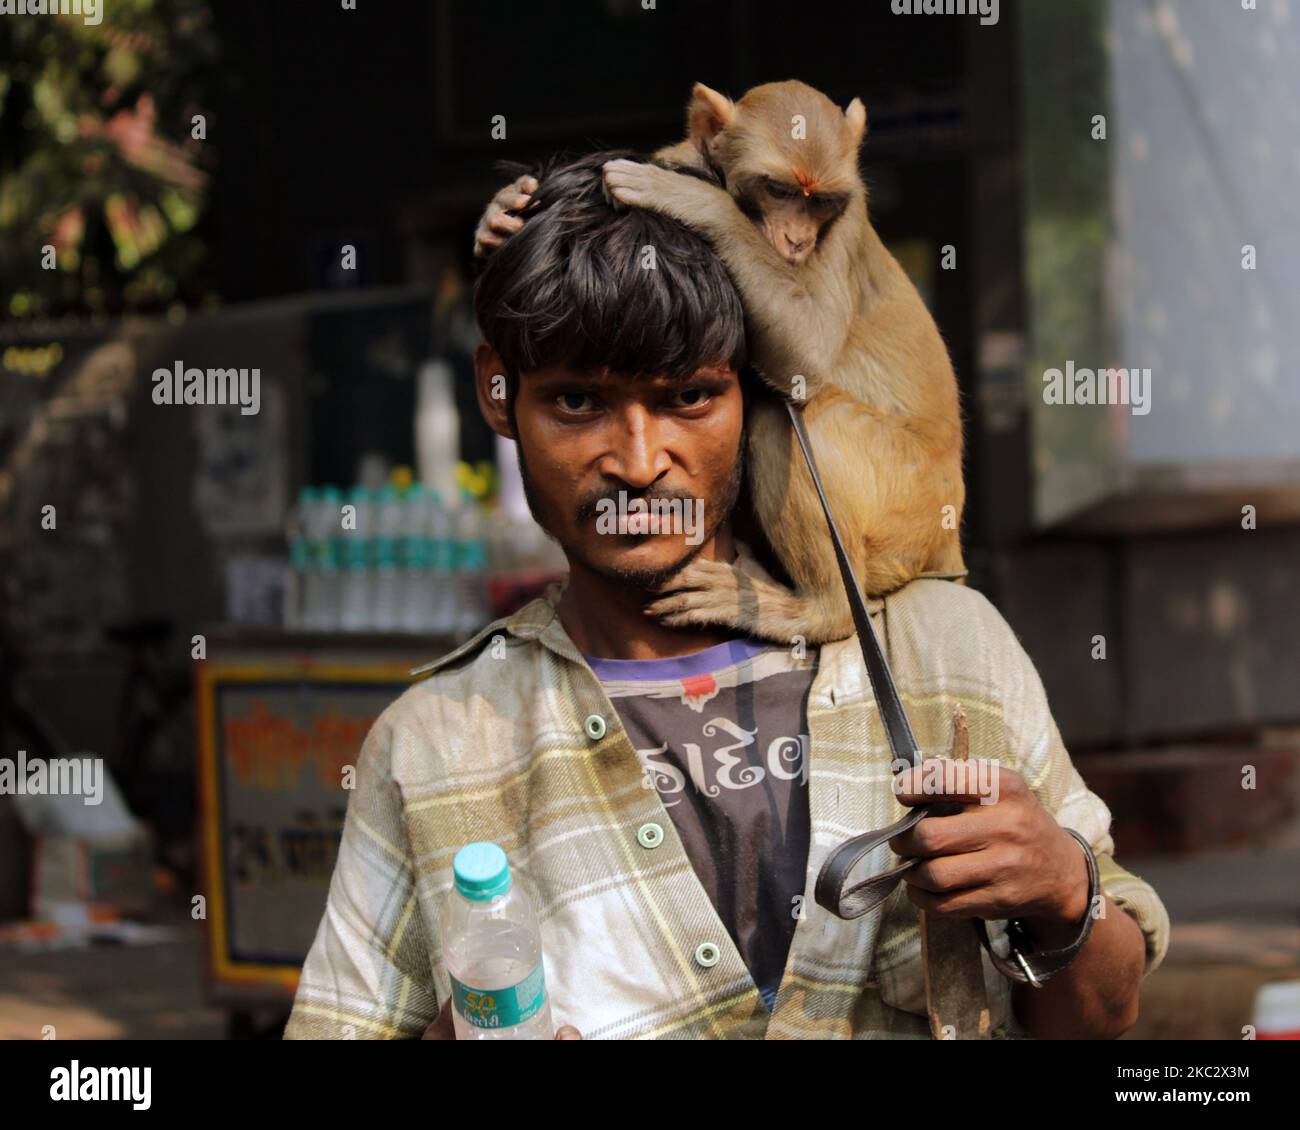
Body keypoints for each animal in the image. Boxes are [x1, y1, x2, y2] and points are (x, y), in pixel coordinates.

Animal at [473, 79, 961, 644]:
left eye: (821, 202)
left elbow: (807, 351)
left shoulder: (847, 222)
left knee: (786, 417)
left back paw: (820, 611)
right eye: (779, 190)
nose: (798, 242)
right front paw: (499, 211)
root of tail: (947, 538)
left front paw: (696, 202)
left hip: (906, 499)